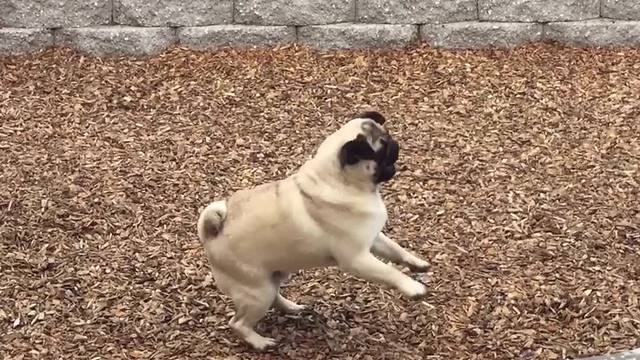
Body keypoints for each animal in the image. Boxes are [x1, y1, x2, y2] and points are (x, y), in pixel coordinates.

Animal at [198, 111, 430, 350]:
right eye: (381, 148)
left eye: (387, 136)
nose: (394, 143)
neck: (341, 182)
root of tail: (211, 234)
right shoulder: (357, 259)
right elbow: (390, 272)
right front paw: (412, 287)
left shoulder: (373, 239)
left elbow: (397, 250)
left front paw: (416, 263)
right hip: (256, 292)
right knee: (238, 323)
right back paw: (260, 342)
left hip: (273, 277)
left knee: (274, 296)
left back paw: (291, 307)